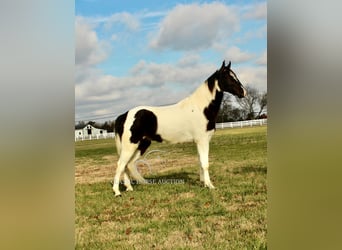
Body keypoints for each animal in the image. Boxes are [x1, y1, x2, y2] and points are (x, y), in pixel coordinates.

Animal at [112, 61, 246, 197]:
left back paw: (131, 187)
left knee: (129, 164)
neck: (201, 108)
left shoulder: (200, 141)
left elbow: (200, 162)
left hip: (142, 144)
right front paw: (210, 186)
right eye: (229, 77)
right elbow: (205, 164)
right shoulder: (202, 141)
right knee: (121, 164)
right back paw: (117, 192)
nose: (244, 92)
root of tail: (124, 115)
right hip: (130, 145)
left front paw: (203, 183)